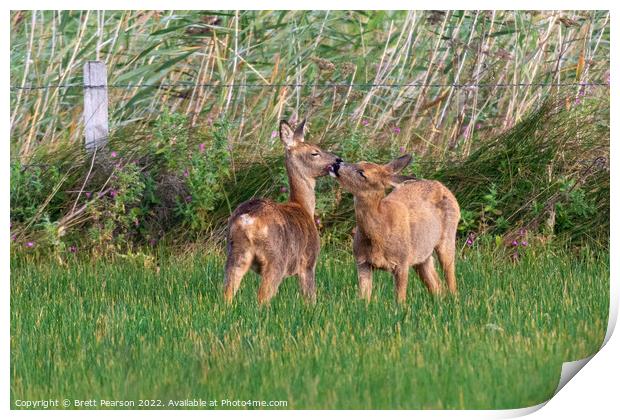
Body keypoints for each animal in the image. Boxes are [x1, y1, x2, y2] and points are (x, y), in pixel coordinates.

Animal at [224, 120, 342, 304]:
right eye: (314, 152)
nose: (338, 160)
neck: (303, 207)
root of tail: (247, 219)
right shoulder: (308, 261)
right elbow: (310, 297)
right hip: (276, 258)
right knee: (263, 296)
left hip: (235, 253)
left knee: (227, 293)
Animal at [330, 154, 460, 302]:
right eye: (358, 162)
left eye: (362, 173)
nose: (336, 164)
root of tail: (441, 185)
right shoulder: (362, 261)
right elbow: (363, 298)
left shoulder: (402, 262)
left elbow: (400, 299)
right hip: (421, 255)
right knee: (436, 285)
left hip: (447, 238)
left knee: (451, 281)